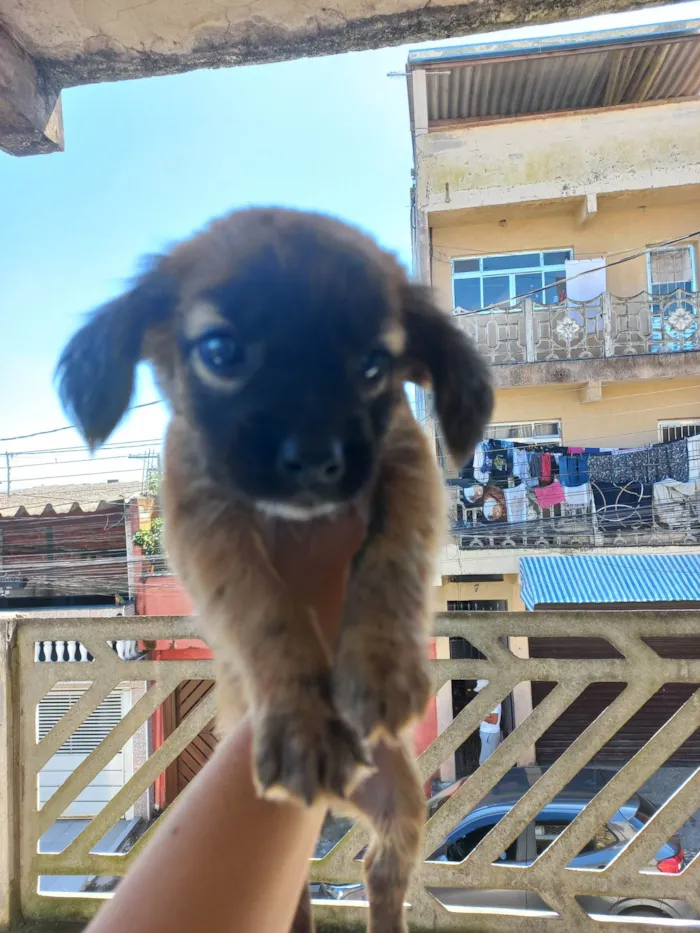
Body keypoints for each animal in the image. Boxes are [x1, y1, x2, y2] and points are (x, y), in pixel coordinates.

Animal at [56, 209, 492, 932]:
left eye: (374, 365)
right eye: (220, 351)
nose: (315, 459)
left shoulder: (406, 471)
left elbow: (390, 561)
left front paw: (380, 664)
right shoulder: (207, 525)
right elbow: (267, 613)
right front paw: (301, 722)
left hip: (404, 800)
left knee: (382, 873)